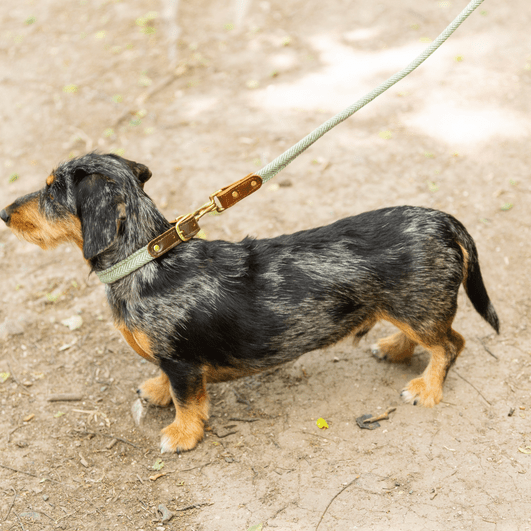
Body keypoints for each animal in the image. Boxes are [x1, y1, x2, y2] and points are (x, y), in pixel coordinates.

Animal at [1, 153, 498, 454]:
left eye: (52, 192)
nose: (4, 213)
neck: (148, 259)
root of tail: (442, 220)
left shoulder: (182, 362)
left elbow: (187, 400)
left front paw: (181, 434)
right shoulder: (171, 359)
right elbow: (166, 382)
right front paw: (156, 390)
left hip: (420, 309)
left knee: (450, 344)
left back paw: (426, 388)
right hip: (410, 310)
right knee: (433, 339)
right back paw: (395, 349)